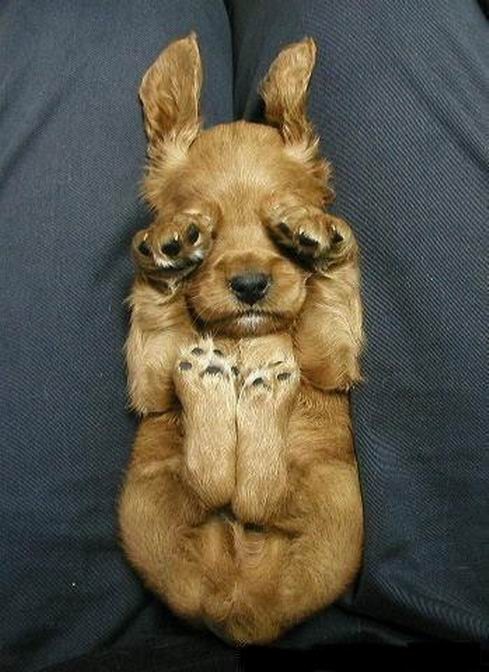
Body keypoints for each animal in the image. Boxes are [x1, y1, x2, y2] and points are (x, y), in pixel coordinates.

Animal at [119, 32, 364, 645]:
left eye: (280, 221)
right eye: (203, 225)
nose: (250, 284)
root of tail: (241, 608)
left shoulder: (329, 361)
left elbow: (332, 293)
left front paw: (321, 239)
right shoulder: (149, 383)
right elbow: (158, 323)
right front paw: (166, 253)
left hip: (335, 498)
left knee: (255, 493)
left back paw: (258, 388)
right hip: (146, 500)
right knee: (216, 487)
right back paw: (217, 383)